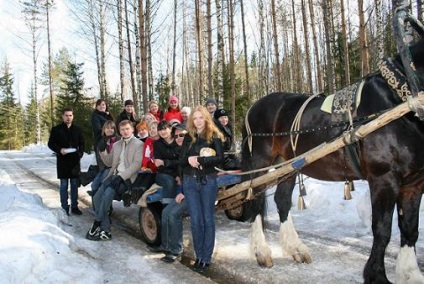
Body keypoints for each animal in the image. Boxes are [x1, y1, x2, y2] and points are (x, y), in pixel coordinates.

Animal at [242, 38, 424, 284]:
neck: (400, 101)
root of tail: (252, 108)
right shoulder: (384, 178)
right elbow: (383, 230)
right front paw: (376, 275)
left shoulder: (414, 183)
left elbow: (410, 229)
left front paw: (410, 273)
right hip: (261, 164)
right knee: (256, 201)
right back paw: (262, 252)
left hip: (286, 166)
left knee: (281, 200)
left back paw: (296, 248)